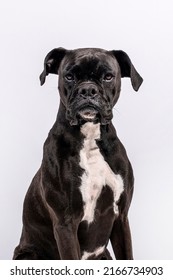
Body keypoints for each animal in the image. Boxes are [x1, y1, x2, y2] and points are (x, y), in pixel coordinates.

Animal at [12, 47, 143, 260]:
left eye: (108, 76)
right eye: (69, 76)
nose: (88, 89)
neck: (89, 138)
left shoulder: (121, 217)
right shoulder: (65, 224)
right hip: (28, 254)